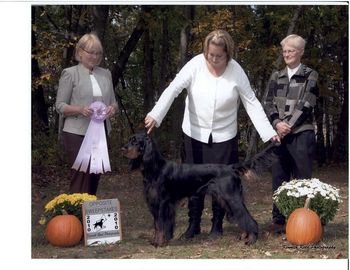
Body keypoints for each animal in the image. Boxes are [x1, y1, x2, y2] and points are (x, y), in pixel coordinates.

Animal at [121, 132, 278, 247]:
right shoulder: (154, 203)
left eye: (135, 141)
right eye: (129, 140)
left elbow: (160, 225)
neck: (154, 168)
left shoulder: (162, 203)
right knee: (240, 216)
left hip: (231, 197)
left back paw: (252, 239)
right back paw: (244, 235)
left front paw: (159, 243)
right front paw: (157, 241)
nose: (123, 148)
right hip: (226, 199)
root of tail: (231, 167)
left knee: (248, 218)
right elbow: (156, 225)